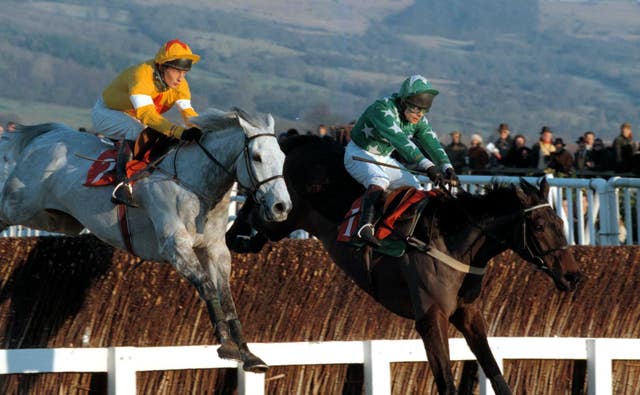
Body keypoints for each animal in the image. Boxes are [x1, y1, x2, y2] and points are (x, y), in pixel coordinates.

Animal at [225, 137, 580, 395]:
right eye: (538, 226)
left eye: (560, 222)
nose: (573, 275)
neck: (453, 239)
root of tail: (300, 144)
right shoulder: (430, 317)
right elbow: (447, 384)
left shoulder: (467, 312)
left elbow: (496, 373)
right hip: (282, 215)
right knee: (254, 208)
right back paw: (233, 236)